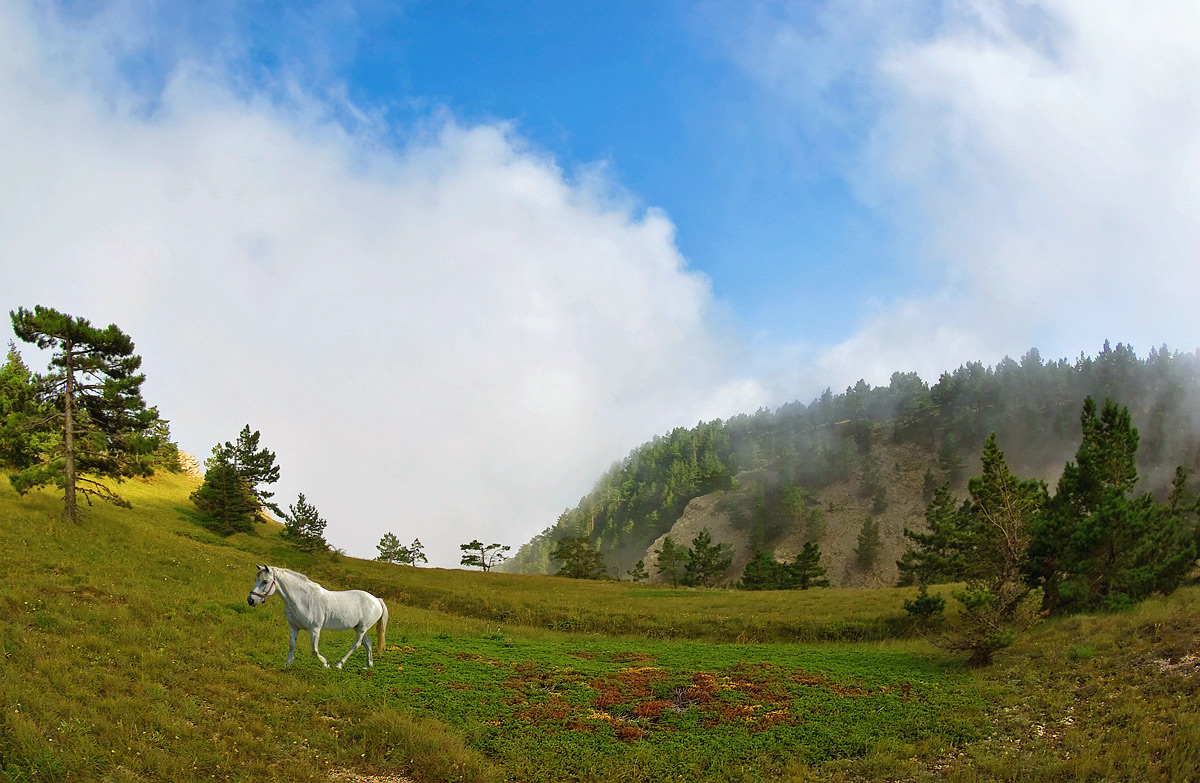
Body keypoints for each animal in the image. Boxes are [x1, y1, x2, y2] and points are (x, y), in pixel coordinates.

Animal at [247, 566, 388, 667]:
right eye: (256, 579)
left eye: (265, 581)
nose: (251, 600)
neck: (303, 599)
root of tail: (377, 600)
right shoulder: (294, 627)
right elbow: (292, 645)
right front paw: (287, 664)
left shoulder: (315, 629)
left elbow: (314, 650)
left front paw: (326, 664)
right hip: (359, 628)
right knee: (367, 644)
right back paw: (368, 665)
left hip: (362, 629)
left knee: (356, 645)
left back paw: (339, 664)